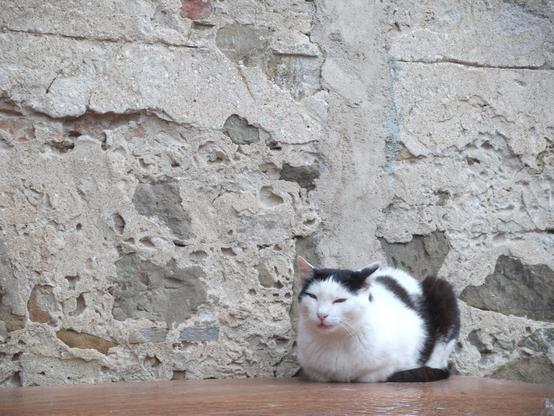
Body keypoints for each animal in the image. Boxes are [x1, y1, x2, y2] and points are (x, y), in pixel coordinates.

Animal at [296, 256, 460, 384]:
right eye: (313, 296)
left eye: (339, 300)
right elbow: (322, 375)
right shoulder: (312, 369)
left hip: (442, 290)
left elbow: (370, 376)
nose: (321, 314)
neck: (336, 340)